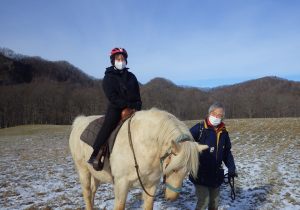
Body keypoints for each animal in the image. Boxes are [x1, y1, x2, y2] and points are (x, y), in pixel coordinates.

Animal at [69, 108, 207, 210]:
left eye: (187, 171)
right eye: (173, 169)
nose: (172, 198)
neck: (142, 145)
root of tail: (80, 121)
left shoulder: (151, 184)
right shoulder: (121, 184)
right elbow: (119, 206)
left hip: (96, 174)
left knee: (92, 191)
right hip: (83, 170)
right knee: (87, 193)